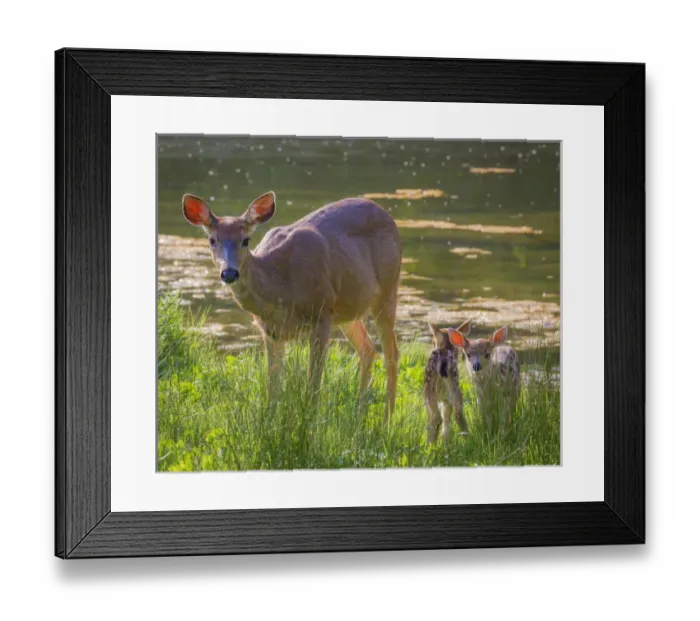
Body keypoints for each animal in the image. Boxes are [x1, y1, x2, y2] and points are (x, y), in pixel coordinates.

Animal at [181, 191, 402, 421]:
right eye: (212, 240)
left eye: (245, 240)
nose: (229, 273)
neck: (280, 287)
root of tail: (387, 216)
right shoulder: (270, 331)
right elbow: (272, 386)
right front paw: (270, 420)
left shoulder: (322, 312)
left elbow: (313, 382)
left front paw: (310, 423)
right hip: (348, 311)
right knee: (368, 350)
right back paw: (359, 417)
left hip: (387, 289)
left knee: (392, 353)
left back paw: (388, 419)